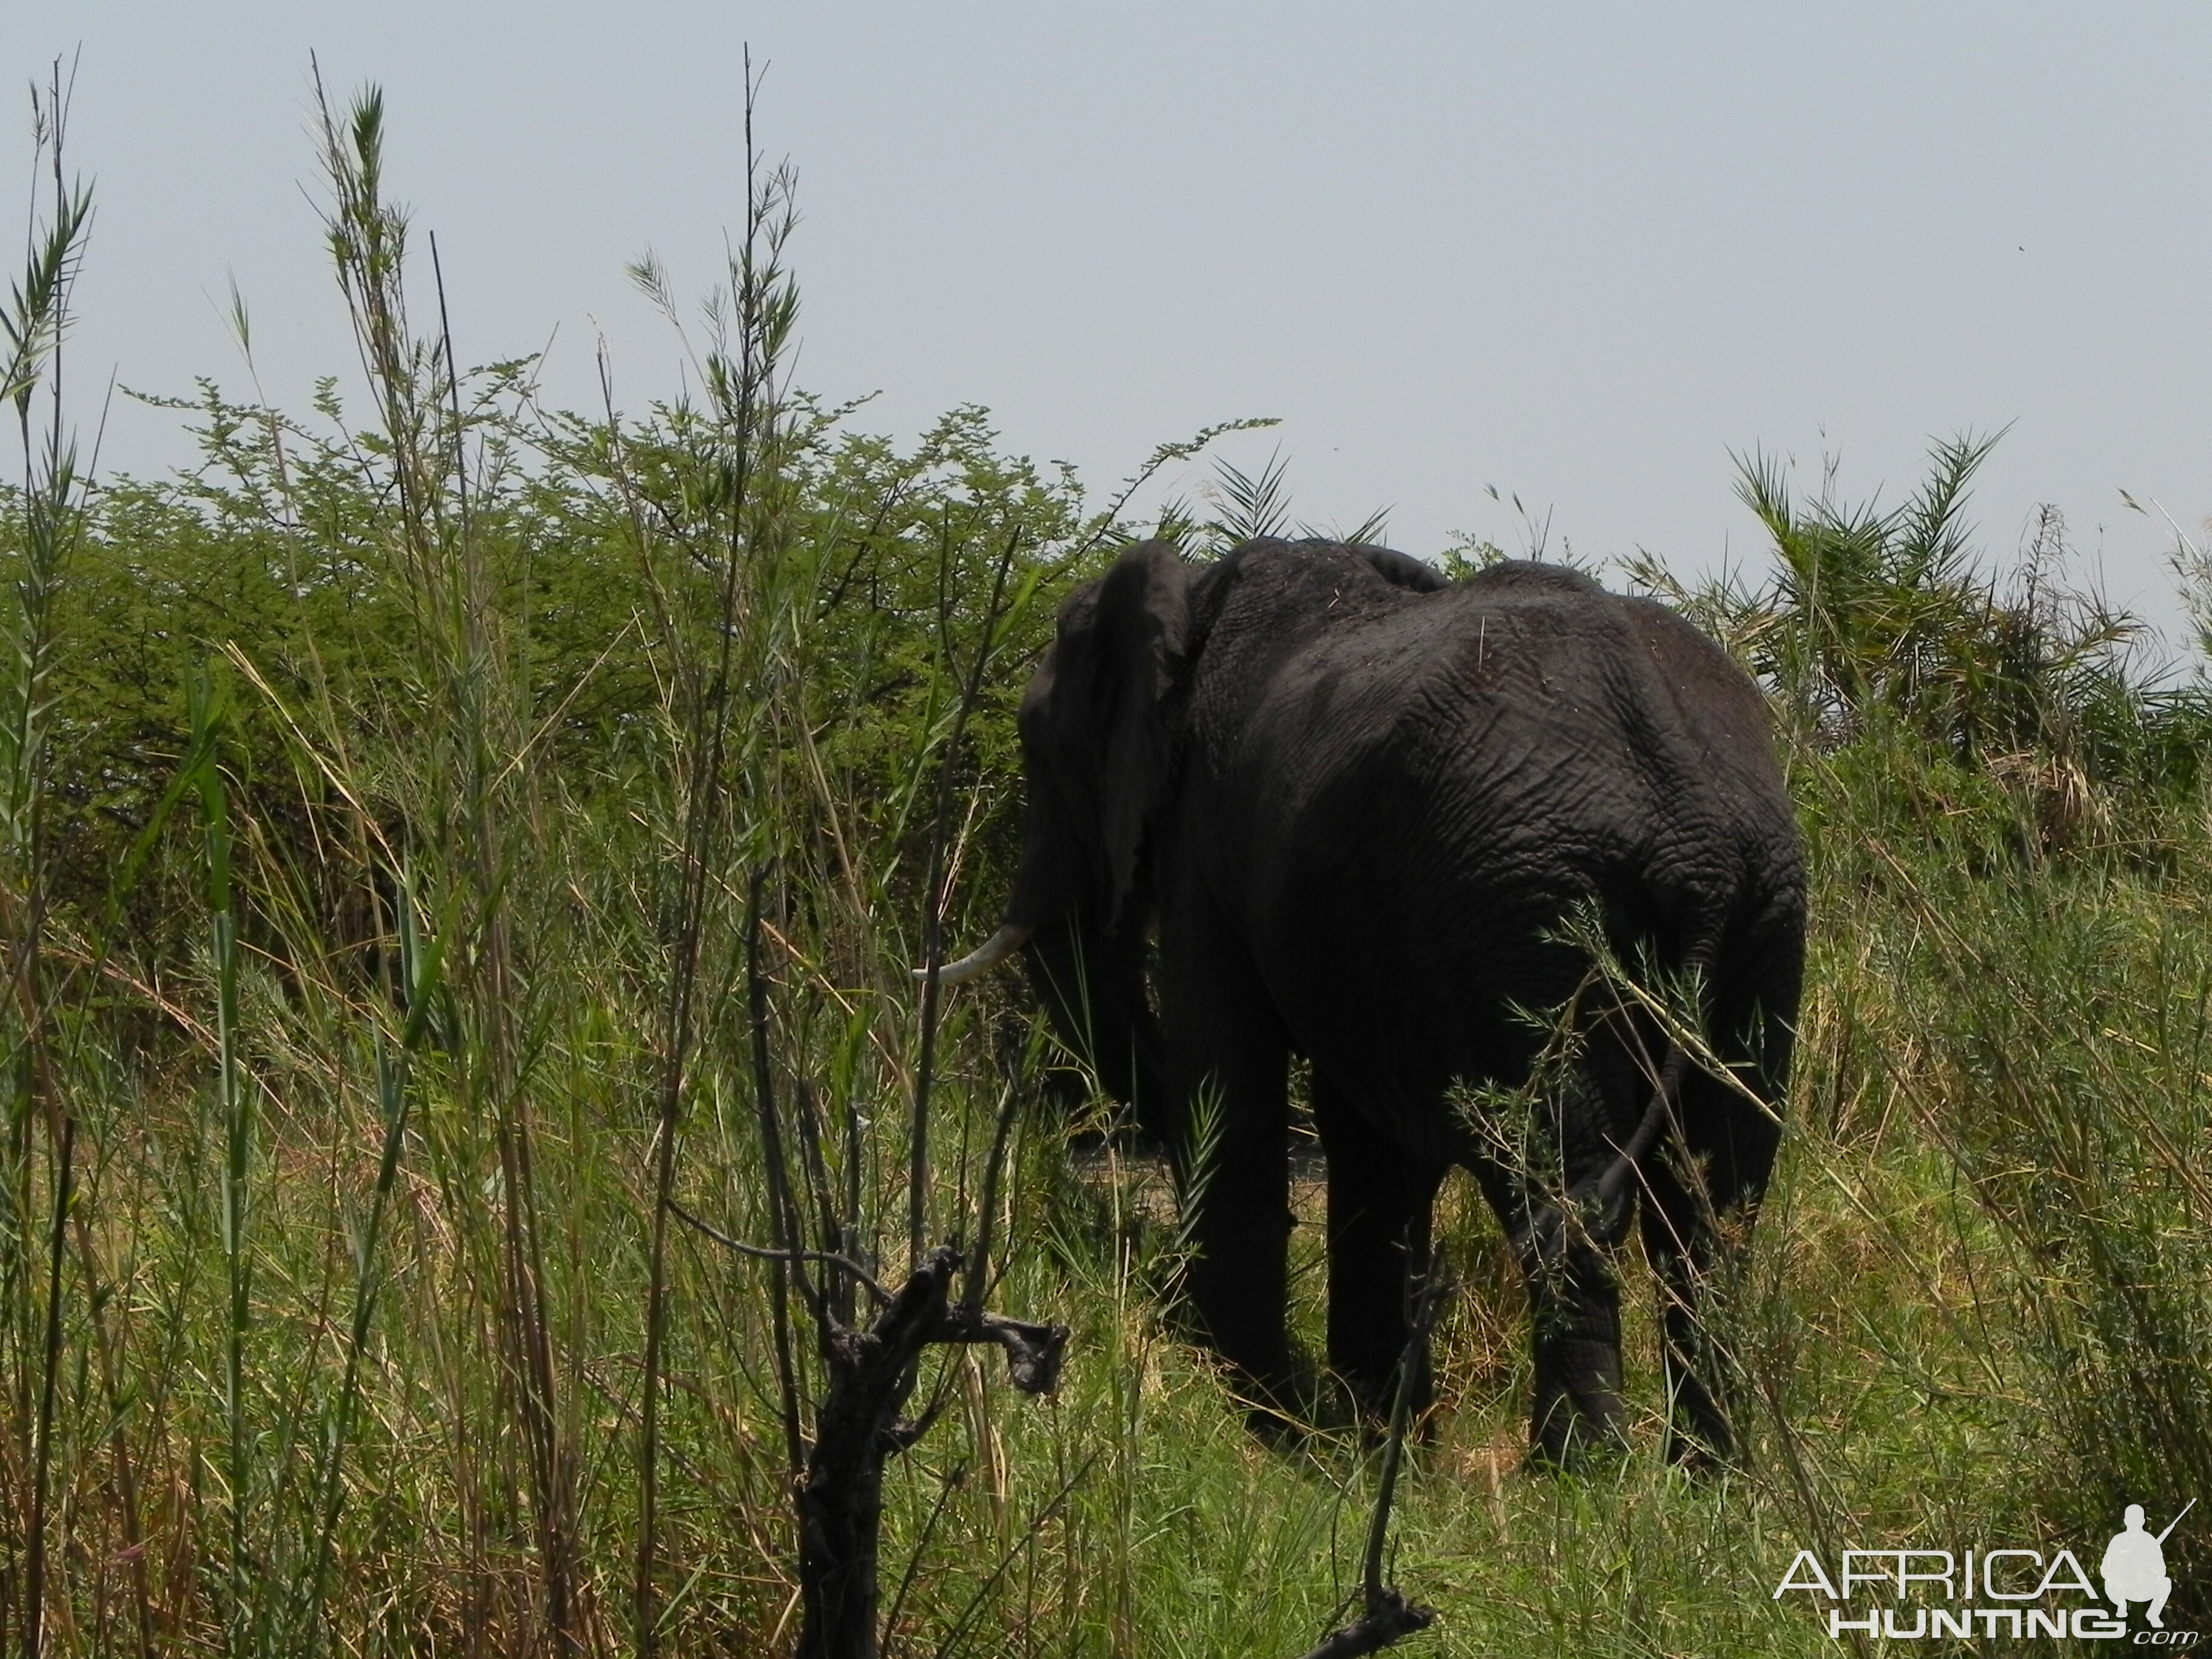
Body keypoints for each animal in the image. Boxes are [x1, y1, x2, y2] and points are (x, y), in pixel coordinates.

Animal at [929, 535, 1796, 1469]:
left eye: (1039, 744)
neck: (1195, 595)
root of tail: (1693, 841)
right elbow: (1371, 1137)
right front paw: (1376, 1433)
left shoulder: (1206, 830)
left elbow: (1228, 1093)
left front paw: (1268, 1420)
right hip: (1756, 918)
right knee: (1716, 1209)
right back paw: (1709, 1472)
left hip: (1531, 916)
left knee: (1559, 1181)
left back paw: (1579, 1469)